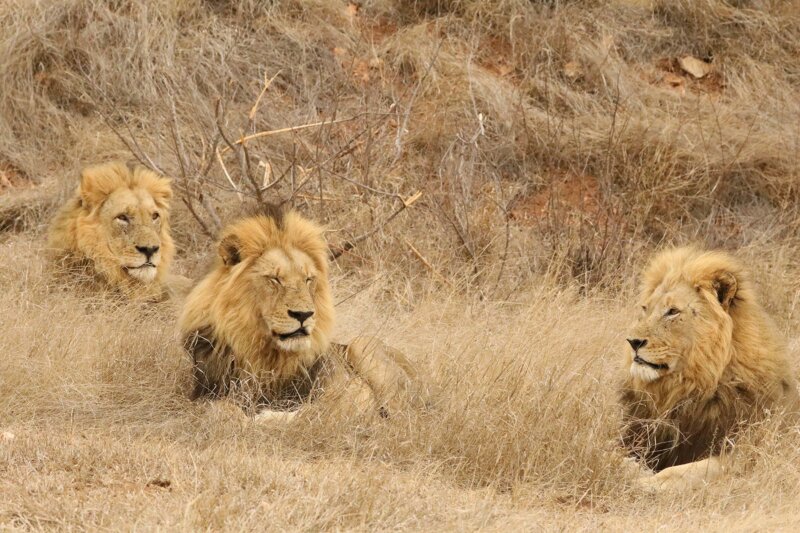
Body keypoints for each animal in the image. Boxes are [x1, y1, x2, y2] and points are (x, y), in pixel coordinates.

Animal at [178, 207, 423, 421]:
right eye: (275, 279)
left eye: (308, 279)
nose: (303, 314)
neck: (263, 353)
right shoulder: (203, 393)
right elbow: (218, 408)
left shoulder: (348, 393)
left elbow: (315, 412)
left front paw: (267, 418)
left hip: (362, 344)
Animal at [619, 246, 798, 491]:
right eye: (645, 309)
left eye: (672, 311)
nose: (632, 342)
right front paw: (628, 467)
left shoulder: (749, 453)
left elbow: (687, 471)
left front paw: (646, 482)